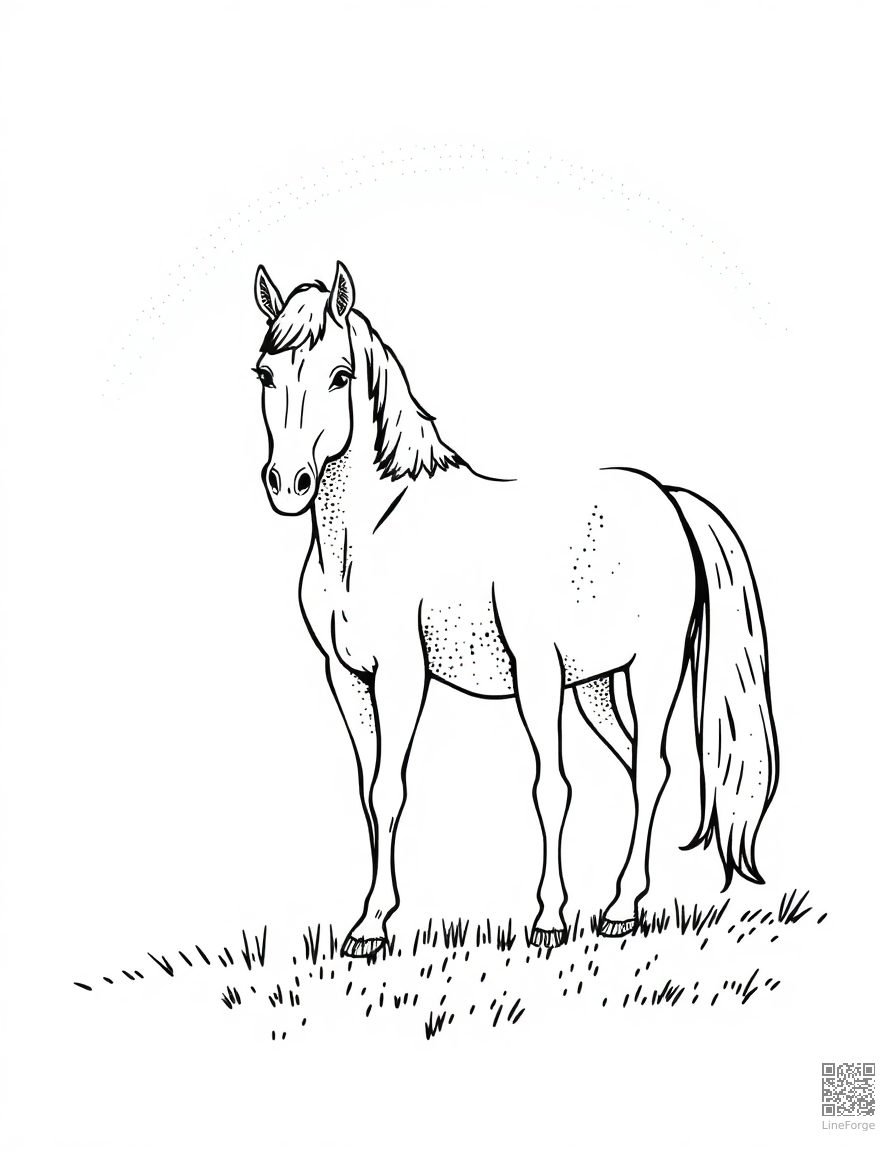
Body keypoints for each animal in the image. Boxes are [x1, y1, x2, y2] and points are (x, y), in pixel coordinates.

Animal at [250, 261, 779, 957]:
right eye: (265, 374)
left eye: (340, 376)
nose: (288, 485)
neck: (371, 534)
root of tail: (667, 499)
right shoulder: (348, 677)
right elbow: (371, 794)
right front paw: (369, 923)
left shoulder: (415, 675)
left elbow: (527, 789)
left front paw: (545, 918)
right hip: (595, 685)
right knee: (640, 768)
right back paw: (627, 903)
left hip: (645, 671)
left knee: (649, 770)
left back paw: (615, 910)